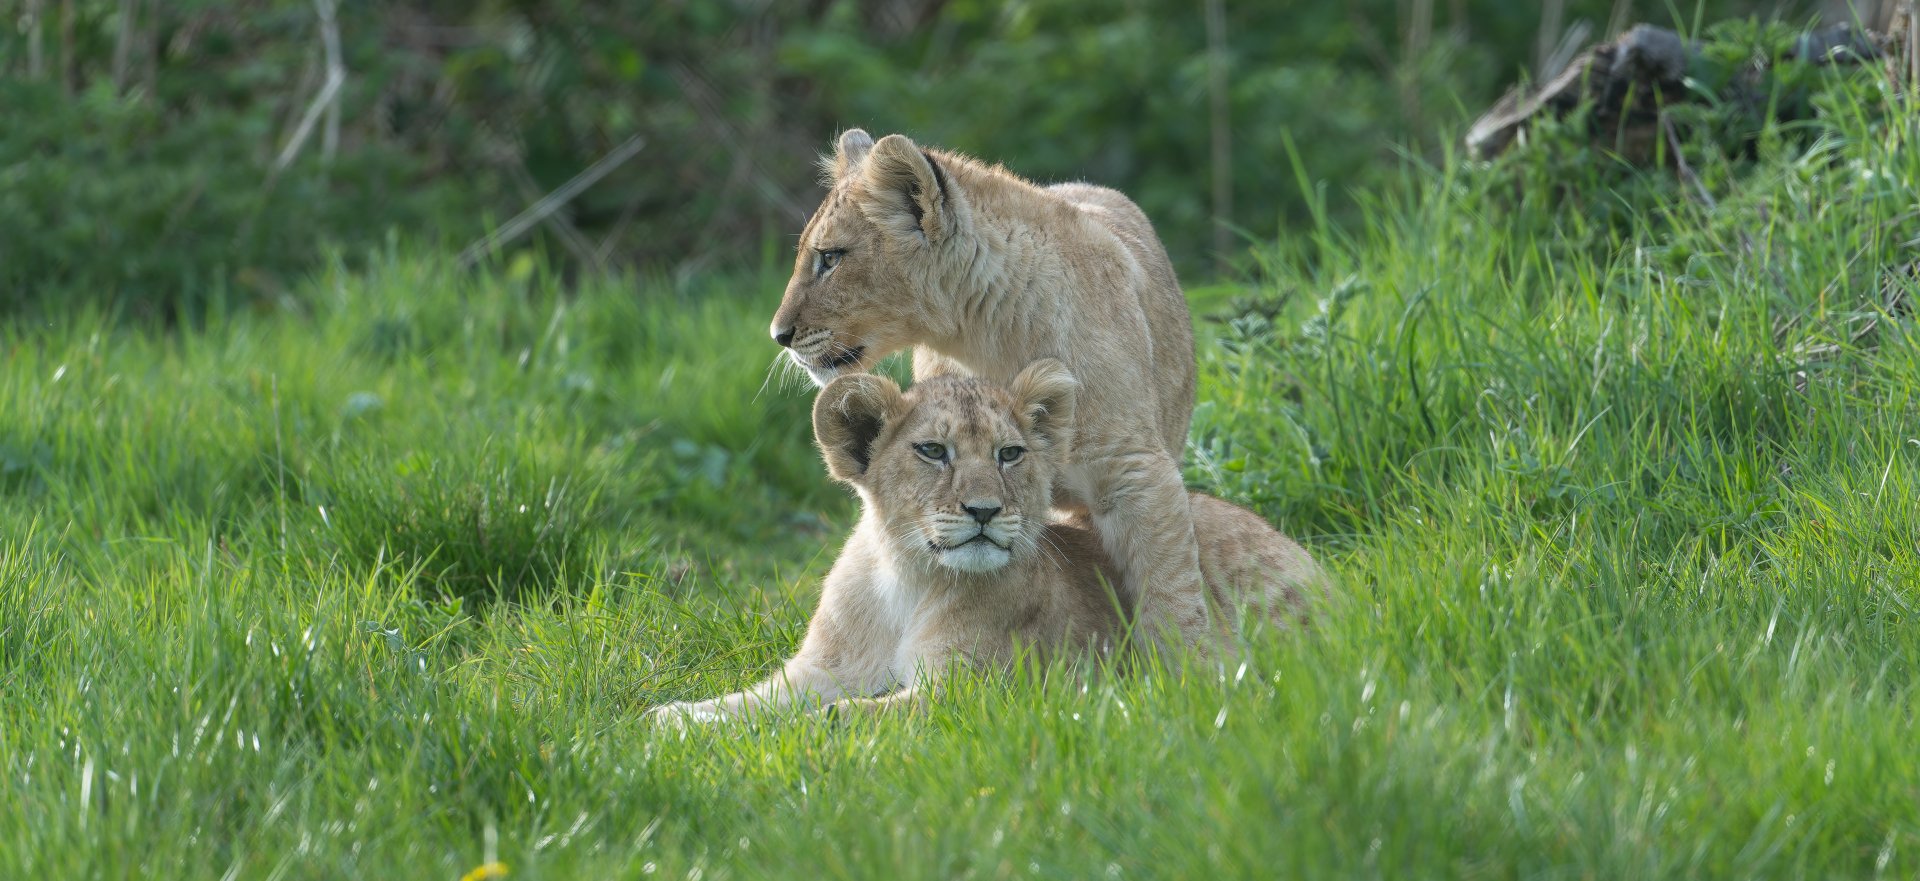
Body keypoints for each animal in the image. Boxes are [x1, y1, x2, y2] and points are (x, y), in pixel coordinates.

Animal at [647, 361, 1325, 725]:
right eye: (931, 450)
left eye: (1009, 454)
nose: (984, 510)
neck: (906, 579)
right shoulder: (819, 670)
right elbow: (751, 702)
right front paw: (675, 720)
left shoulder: (970, 694)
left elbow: (838, 718)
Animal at [766, 129, 1214, 650]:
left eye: (830, 258)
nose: (778, 335)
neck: (979, 338)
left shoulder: (1136, 472)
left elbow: (1172, 592)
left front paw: (1189, 668)